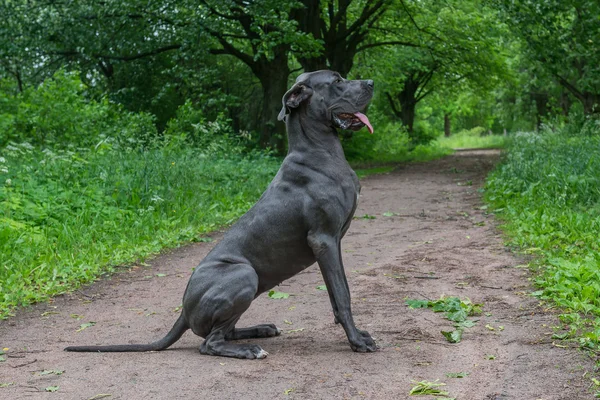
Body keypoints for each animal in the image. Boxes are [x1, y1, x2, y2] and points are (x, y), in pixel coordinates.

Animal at [64, 69, 376, 360]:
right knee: (209, 343)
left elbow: (338, 294)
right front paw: (356, 341)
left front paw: (358, 335)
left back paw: (261, 329)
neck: (320, 152)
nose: (372, 83)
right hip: (244, 273)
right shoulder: (324, 239)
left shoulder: (333, 243)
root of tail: (183, 312)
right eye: (337, 81)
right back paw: (250, 349)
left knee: (224, 332)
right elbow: (342, 295)